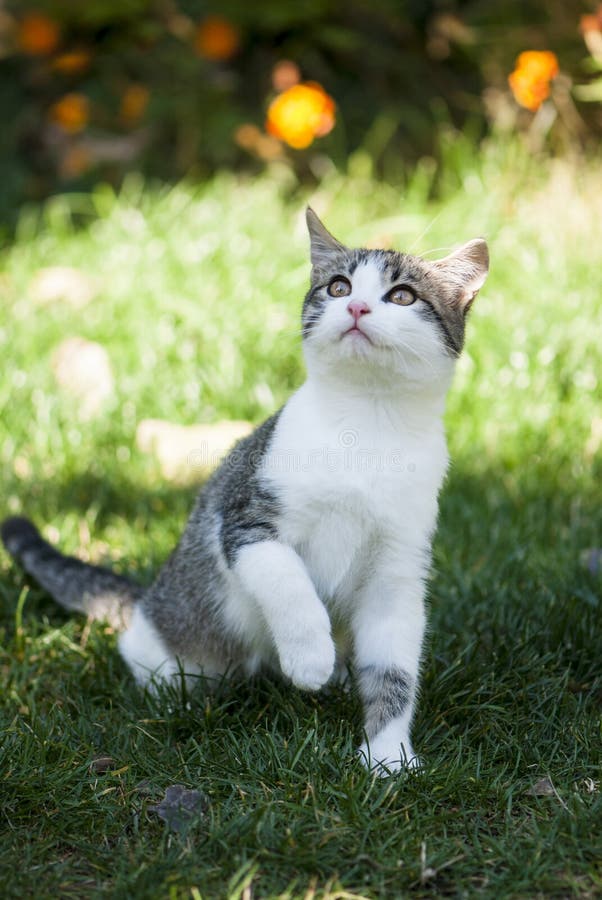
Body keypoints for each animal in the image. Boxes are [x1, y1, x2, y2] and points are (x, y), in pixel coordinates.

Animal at [1, 209, 488, 772]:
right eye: (338, 286)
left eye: (403, 296)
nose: (358, 307)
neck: (367, 426)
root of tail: (148, 600)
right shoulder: (244, 517)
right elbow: (287, 579)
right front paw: (310, 657)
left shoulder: (398, 569)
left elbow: (394, 666)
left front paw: (389, 755)